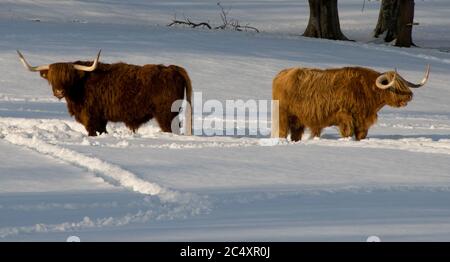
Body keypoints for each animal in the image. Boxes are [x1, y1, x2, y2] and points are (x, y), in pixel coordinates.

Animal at [17, 51, 192, 137]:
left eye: (68, 77)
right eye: (52, 78)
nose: (59, 91)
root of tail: (172, 68)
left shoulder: (91, 117)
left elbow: (92, 132)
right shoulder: (101, 119)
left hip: (166, 114)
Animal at [272, 65, 430, 141]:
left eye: (404, 84)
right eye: (395, 86)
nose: (409, 96)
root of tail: (282, 74)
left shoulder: (363, 122)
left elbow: (361, 135)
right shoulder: (345, 117)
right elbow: (347, 132)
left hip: (298, 120)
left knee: (295, 134)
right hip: (283, 115)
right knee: (282, 131)